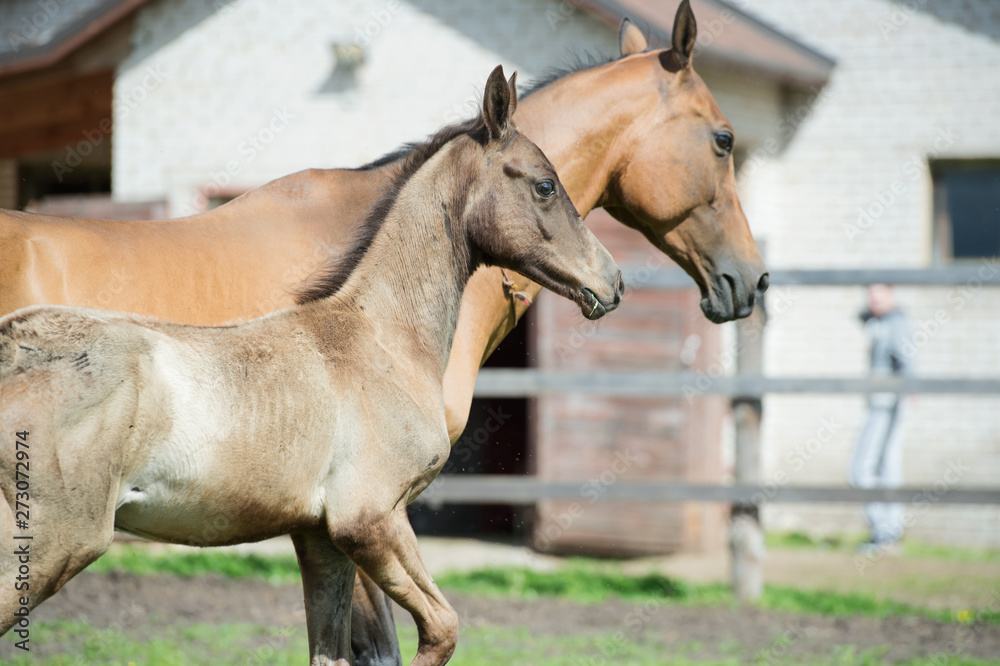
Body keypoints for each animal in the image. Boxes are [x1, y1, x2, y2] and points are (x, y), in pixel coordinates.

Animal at [0, 2, 765, 662]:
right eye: (544, 185)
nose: (612, 281)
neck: (377, 334)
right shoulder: (369, 520)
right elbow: (432, 632)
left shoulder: (321, 538)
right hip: (53, 542)